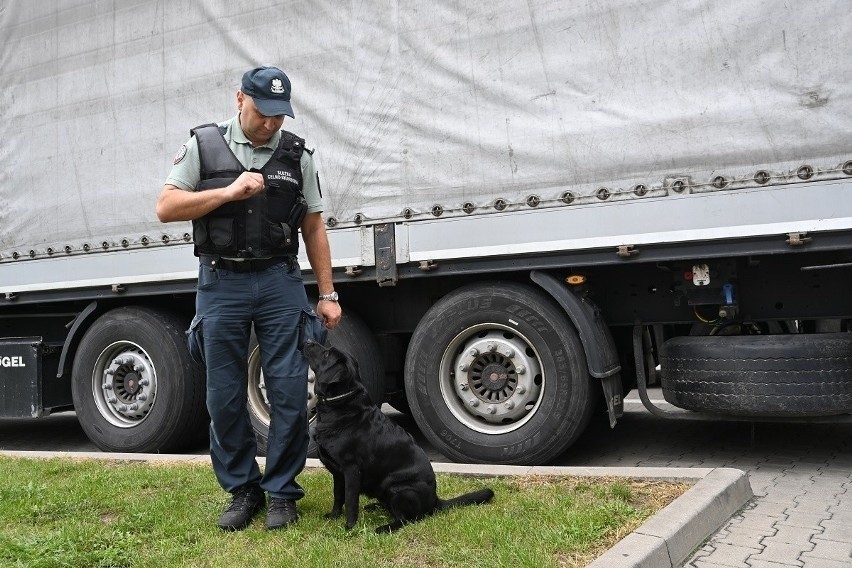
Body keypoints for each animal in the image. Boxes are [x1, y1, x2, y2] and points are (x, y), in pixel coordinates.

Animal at [304, 342, 492, 532]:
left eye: (327, 354)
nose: (308, 341)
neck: (340, 404)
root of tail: (434, 501)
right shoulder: (337, 473)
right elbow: (338, 496)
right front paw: (334, 516)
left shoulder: (351, 471)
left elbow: (350, 501)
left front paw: (349, 527)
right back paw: (376, 507)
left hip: (397, 488)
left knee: (406, 519)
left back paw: (383, 528)